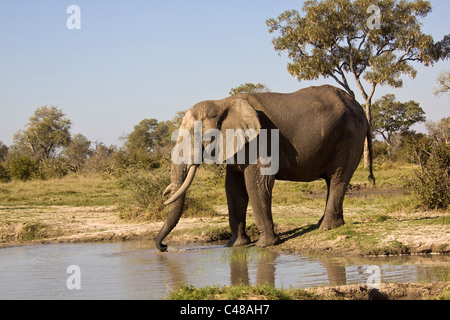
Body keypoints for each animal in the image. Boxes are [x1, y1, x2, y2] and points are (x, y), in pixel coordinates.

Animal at [156, 84, 374, 252]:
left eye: (197, 135)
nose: (164, 247)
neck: (223, 102)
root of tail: (360, 108)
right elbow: (233, 188)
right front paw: (235, 245)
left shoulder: (262, 139)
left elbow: (256, 184)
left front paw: (265, 245)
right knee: (333, 181)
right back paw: (327, 225)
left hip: (350, 136)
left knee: (338, 179)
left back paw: (326, 228)